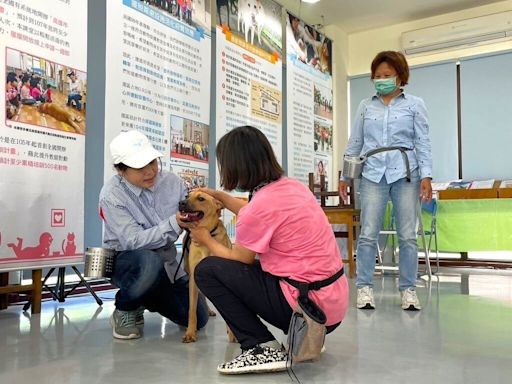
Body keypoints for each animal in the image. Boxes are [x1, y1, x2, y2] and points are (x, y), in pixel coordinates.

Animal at [178, 190, 236, 344]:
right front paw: (190, 333)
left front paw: (232, 333)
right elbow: (192, 310)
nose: (180, 203)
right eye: (187, 196)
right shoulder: (193, 278)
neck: (208, 234)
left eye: (201, 198)